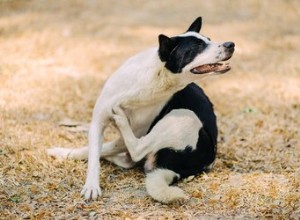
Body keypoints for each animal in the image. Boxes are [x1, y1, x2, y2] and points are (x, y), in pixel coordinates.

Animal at [47, 16, 234, 204]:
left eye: (209, 39)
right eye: (198, 46)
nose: (231, 44)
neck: (155, 77)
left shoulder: (137, 131)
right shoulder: (98, 122)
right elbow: (94, 155)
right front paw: (91, 184)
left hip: (185, 115)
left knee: (135, 151)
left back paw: (120, 120)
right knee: (124, 157)